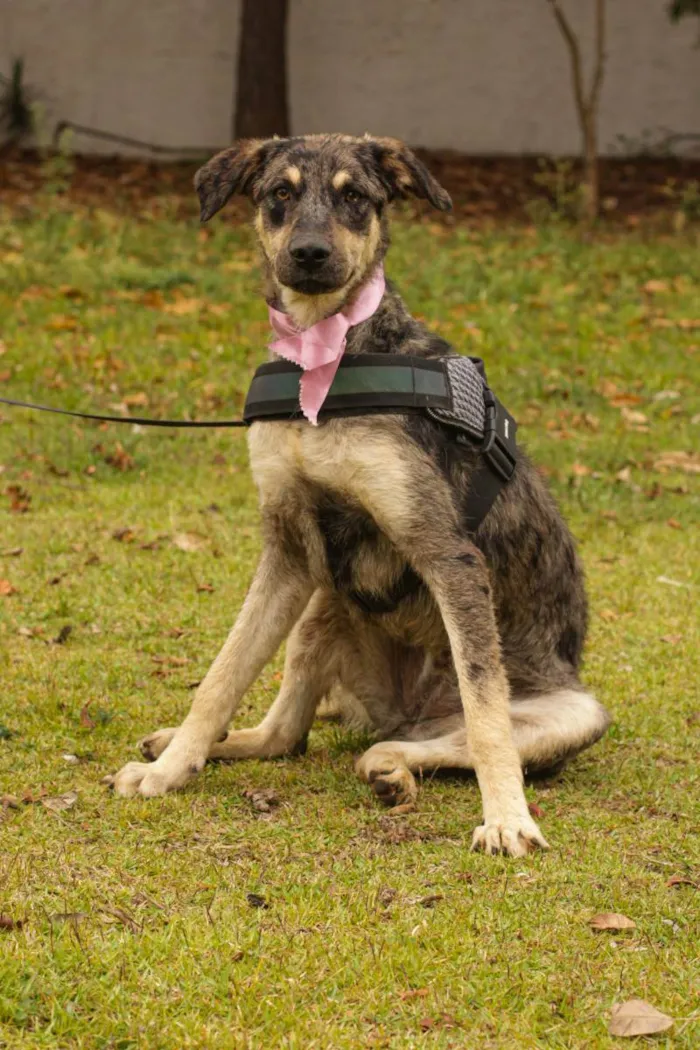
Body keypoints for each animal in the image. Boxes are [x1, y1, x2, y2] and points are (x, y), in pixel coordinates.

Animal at [107, 133, 608, 852]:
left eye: (355, 198)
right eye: (279, 193)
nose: (310, 255)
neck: (328, 355)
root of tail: (407, 711)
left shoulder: (448, 556)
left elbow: (487, 713)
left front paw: (507, 817)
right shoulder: (288, 550)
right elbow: (224, 675)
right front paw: (172, 769)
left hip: (575, 710)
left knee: (438, 739)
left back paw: (391, 768)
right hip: (322, 603)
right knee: (286, 734)